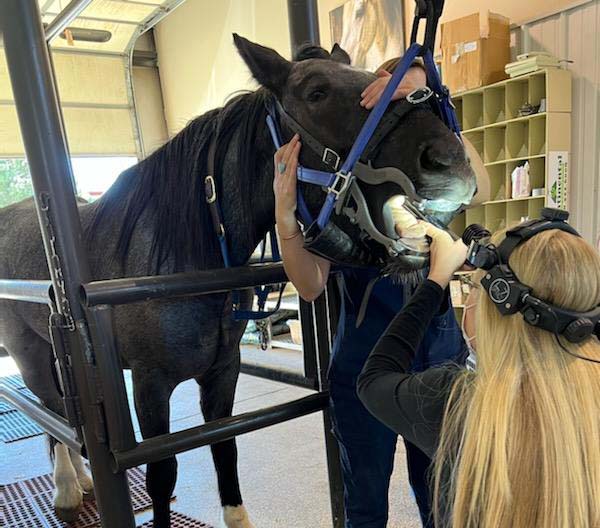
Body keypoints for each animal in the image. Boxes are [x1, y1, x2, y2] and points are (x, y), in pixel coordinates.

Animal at [1, 37, 478, 528]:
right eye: (316, 92)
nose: (450, 160)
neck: (185, 259)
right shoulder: (150, 386)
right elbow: (161, 475)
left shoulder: (222, 371)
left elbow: (224, 448)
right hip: (29, 354)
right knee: (52, 413)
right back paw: (66, 488)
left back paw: (83, 481)